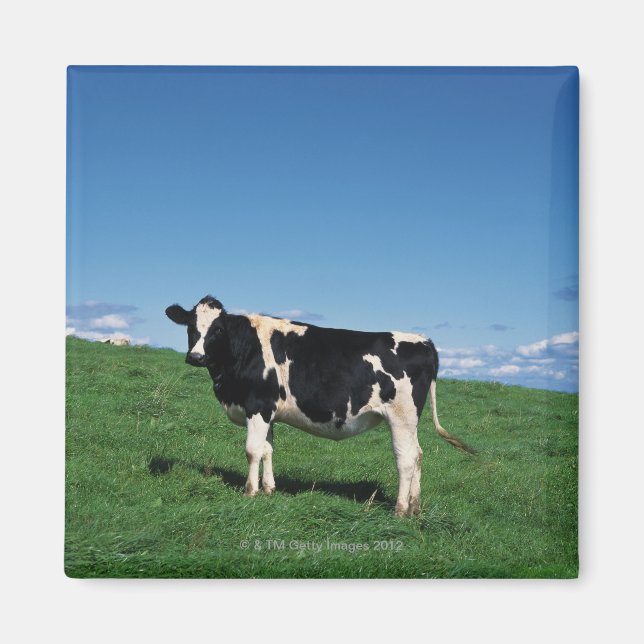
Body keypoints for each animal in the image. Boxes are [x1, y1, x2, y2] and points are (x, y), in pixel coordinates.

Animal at [165, 295, 474, 517]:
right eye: (191, 327)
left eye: (217, 330)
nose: (195, 357)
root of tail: (424, 341)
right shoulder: (269, 412)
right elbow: (267, 450)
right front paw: (268, 489)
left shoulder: (258, 405)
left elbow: (252, 451)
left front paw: (250, 492)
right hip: (410, 421)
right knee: (419, 454)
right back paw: (414, 507)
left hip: (401, 416)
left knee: (407, 458)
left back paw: (399, 511)